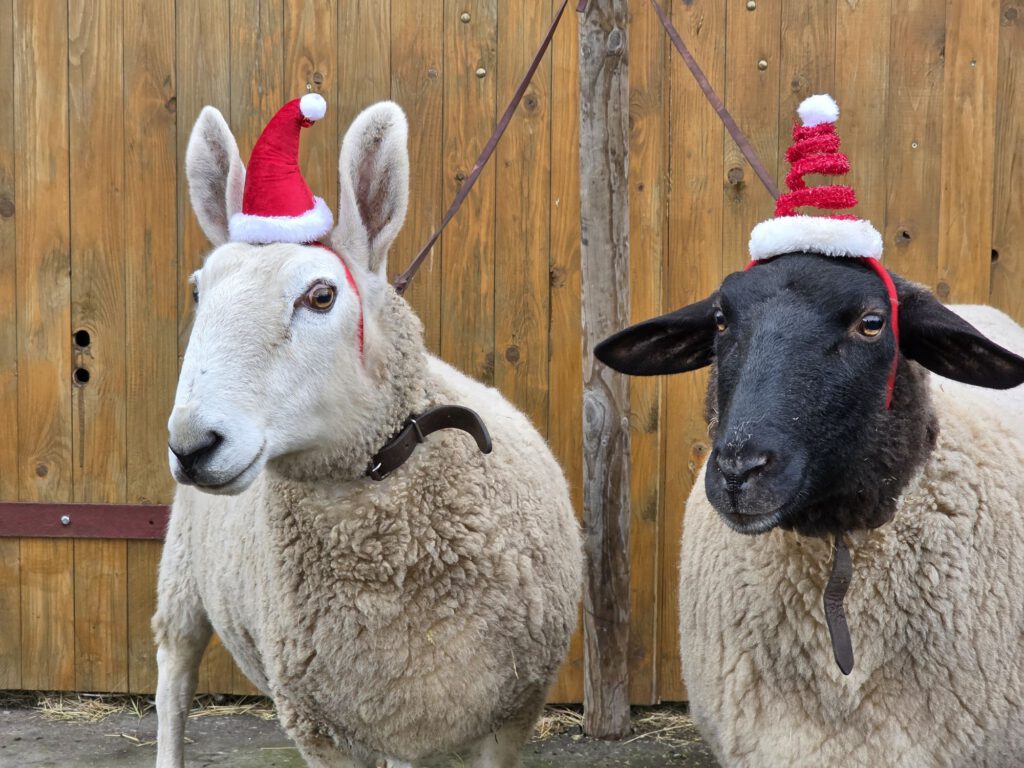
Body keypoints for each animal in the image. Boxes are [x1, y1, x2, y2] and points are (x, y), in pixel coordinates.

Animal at [153, 100, 582, 768]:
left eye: (321, 296)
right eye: (198, 291)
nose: (193, 446)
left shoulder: (508, 714)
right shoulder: (321, 726)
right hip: (180, 571)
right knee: (174, 676)